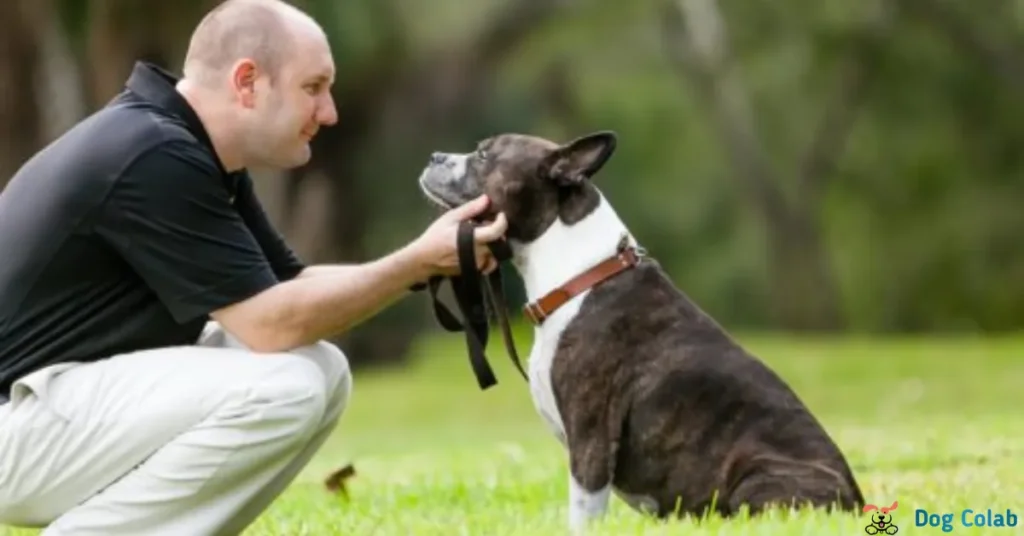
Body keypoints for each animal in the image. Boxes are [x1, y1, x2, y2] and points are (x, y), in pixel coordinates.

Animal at [415, 131, 864, 532]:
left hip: (759, 478)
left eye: (484, 155)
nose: (434, 155)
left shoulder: (591, 440)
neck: (580, 277)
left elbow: (583, 513)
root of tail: (855, 504)